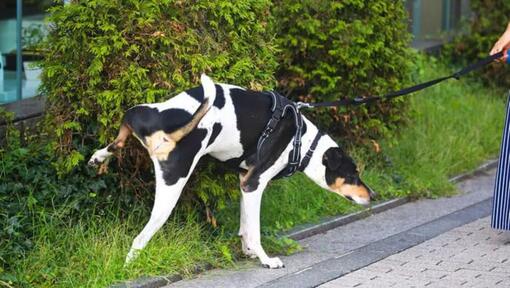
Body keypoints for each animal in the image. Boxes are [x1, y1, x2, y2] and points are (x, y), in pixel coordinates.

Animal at [88, 73, 374, 268]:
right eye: (353, 175)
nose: (373, 195)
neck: (301, 142)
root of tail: (163, 127)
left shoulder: (244, 182)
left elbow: (245, 226)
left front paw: (248, 251)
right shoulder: (254, 184)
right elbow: (254, 230)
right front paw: (265, 259)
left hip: (138, 113)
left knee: (120, 135)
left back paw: (98, 156)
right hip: (171, 188)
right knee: (140, 238)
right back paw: (129, 265)